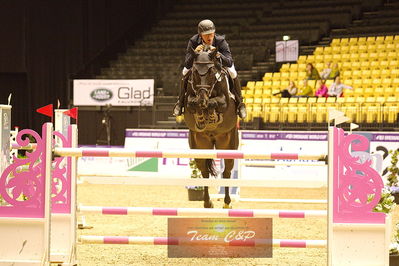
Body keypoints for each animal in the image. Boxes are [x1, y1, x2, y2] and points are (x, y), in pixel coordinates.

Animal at [184, 48, 239, 209]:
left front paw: (211, 115)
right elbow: (192, 103)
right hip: (200, 146)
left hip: (227, 145)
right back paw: (207, 203)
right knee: (204, 173)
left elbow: (215, 103)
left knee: (226, 172)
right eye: (195, 72)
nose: (203, 98)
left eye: (211, 71)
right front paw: (201, 118)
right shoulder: (190, 100)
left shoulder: (225, 102)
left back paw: (227, 202)